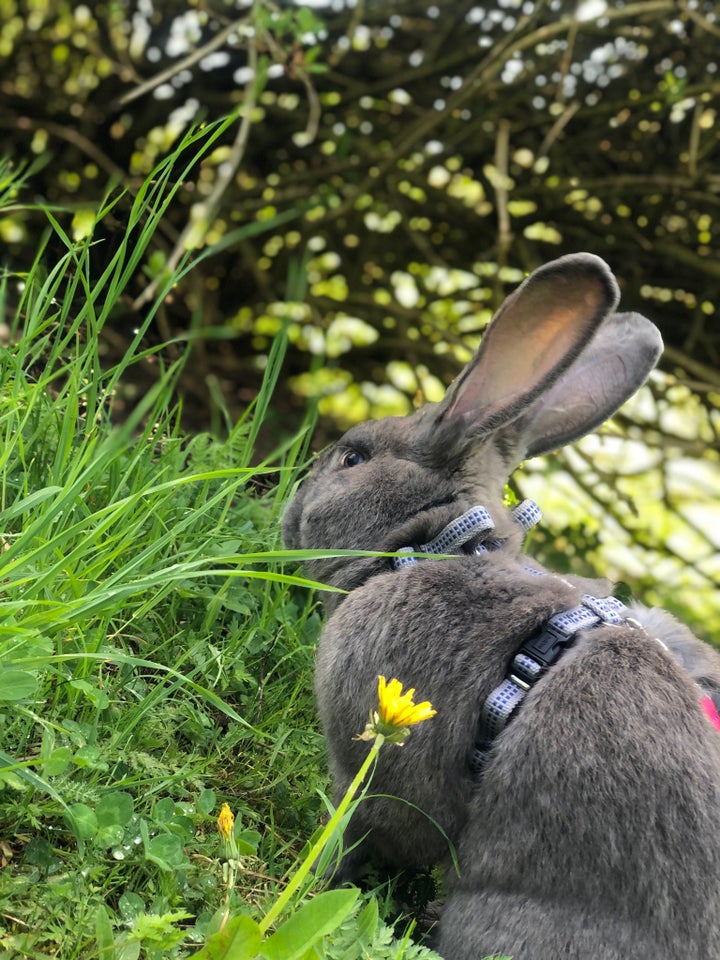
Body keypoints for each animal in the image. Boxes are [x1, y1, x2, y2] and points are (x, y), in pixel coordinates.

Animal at [282, 255, 720, 960]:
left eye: (353, 458)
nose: (291, 505)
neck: (439, 545)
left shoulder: (378, 758)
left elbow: (371, 824)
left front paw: (324, 876)